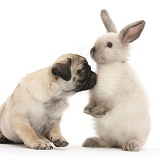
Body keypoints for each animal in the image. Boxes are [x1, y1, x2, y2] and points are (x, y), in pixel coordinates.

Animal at [83, 9, 151, 151]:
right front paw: (87, 110)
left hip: (133, 132)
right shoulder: (94, 94)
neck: (108, 66)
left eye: (109, 45)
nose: (92, 50)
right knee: (110, 142)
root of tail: (119, 142)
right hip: (105, 132)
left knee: (135, 142)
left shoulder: (112, 95)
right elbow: (92, 102)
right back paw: (91, 142)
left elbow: (105, 105)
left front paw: (96, 112)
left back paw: (131, 145)